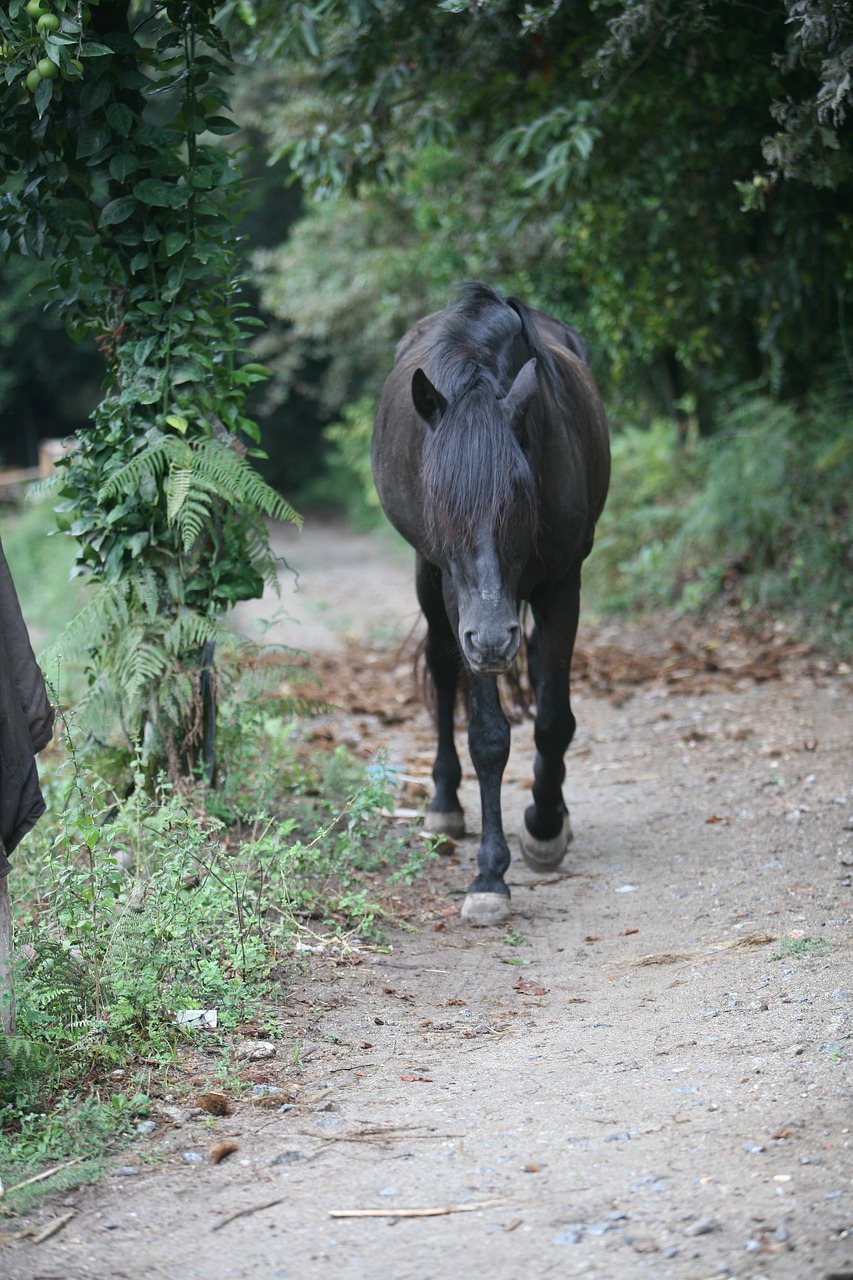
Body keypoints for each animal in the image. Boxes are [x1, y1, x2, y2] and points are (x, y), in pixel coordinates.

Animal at [371, 285, 604, 921]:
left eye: (521, 499)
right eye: (440, 503)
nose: (496, 639)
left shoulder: (563, 584)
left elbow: (552, 720)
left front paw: (544, 827)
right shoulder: (457, 598)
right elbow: (488, 737)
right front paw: (489, 878)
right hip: (431, 587)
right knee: (441, 667)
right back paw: (445, 804)